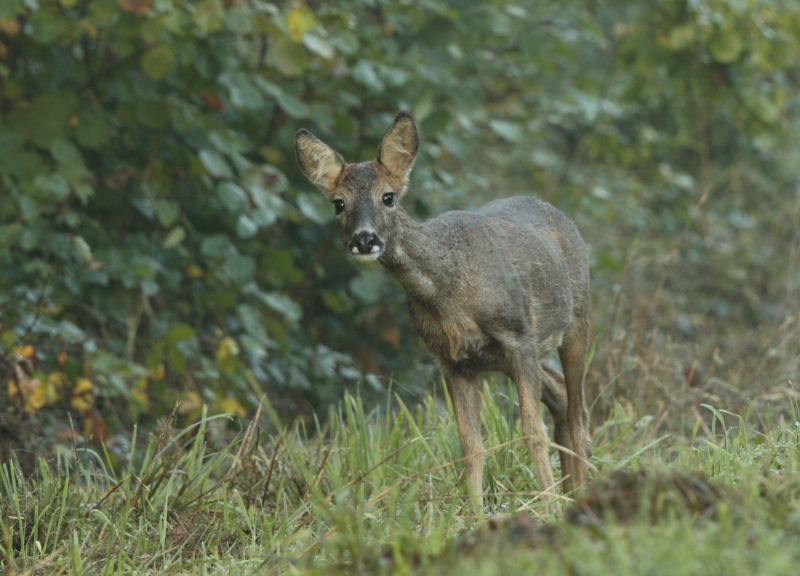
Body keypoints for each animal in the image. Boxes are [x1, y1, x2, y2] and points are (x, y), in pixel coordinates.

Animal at [296, 112, 592, 512]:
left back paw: (579, 495)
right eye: (338, 204)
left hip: (578, 321)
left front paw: (547, 508)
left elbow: (531, 432)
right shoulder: (451, 359)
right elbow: (470, 445)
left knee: (578, 413)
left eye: (388, 197)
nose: (365, 239)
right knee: (561, 397)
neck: (451, 296)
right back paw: (572, 492)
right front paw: (475, 515)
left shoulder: (518, 338)